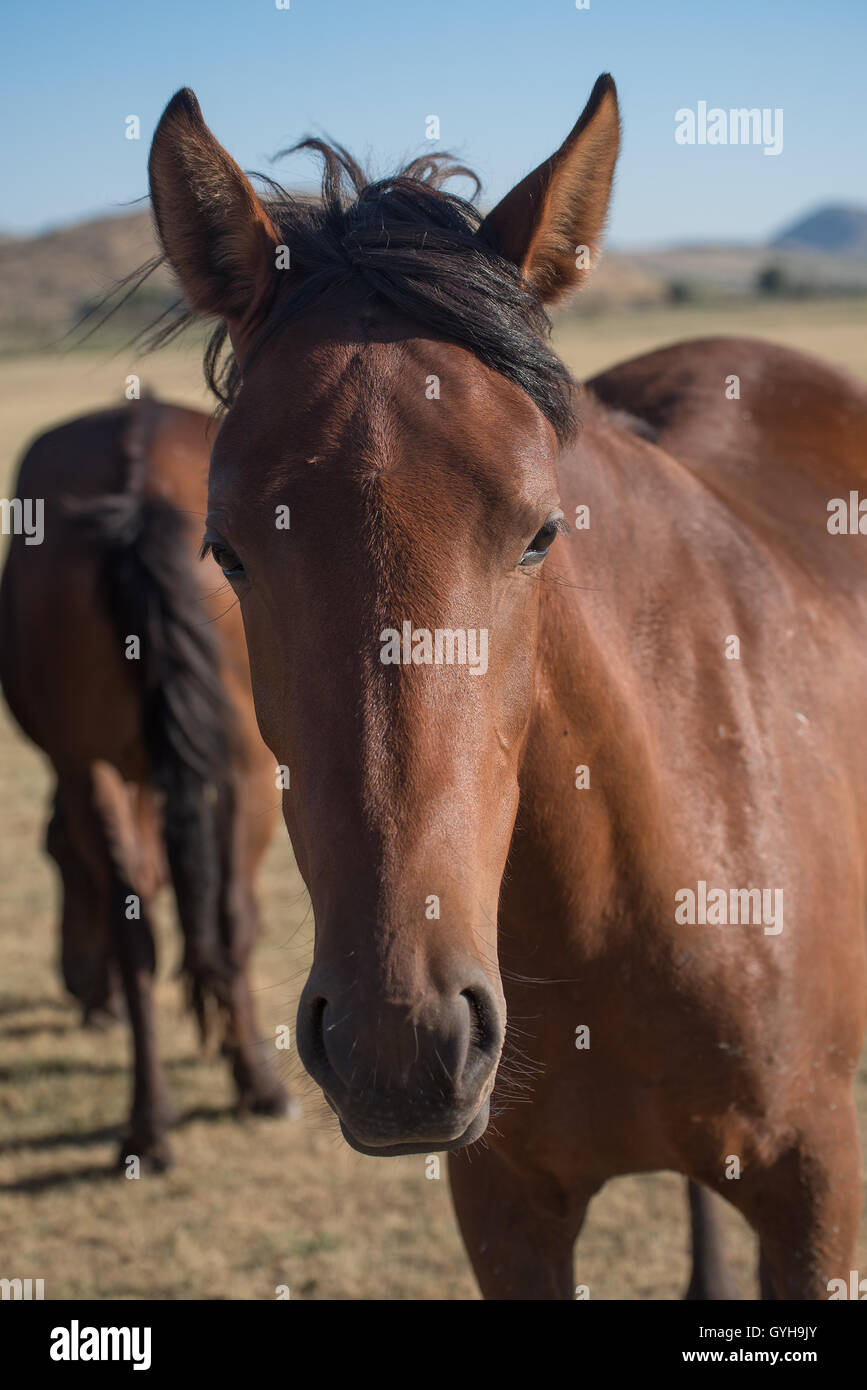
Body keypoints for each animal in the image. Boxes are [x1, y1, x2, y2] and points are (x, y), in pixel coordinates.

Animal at [0, 397, 291, 1167]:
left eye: (53, 858)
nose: (74, 980)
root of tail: (142, 478)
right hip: (247, 765)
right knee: (224, 915)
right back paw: (235, 1089)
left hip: (98, 765)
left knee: (152, 924)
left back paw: (153, 1120)